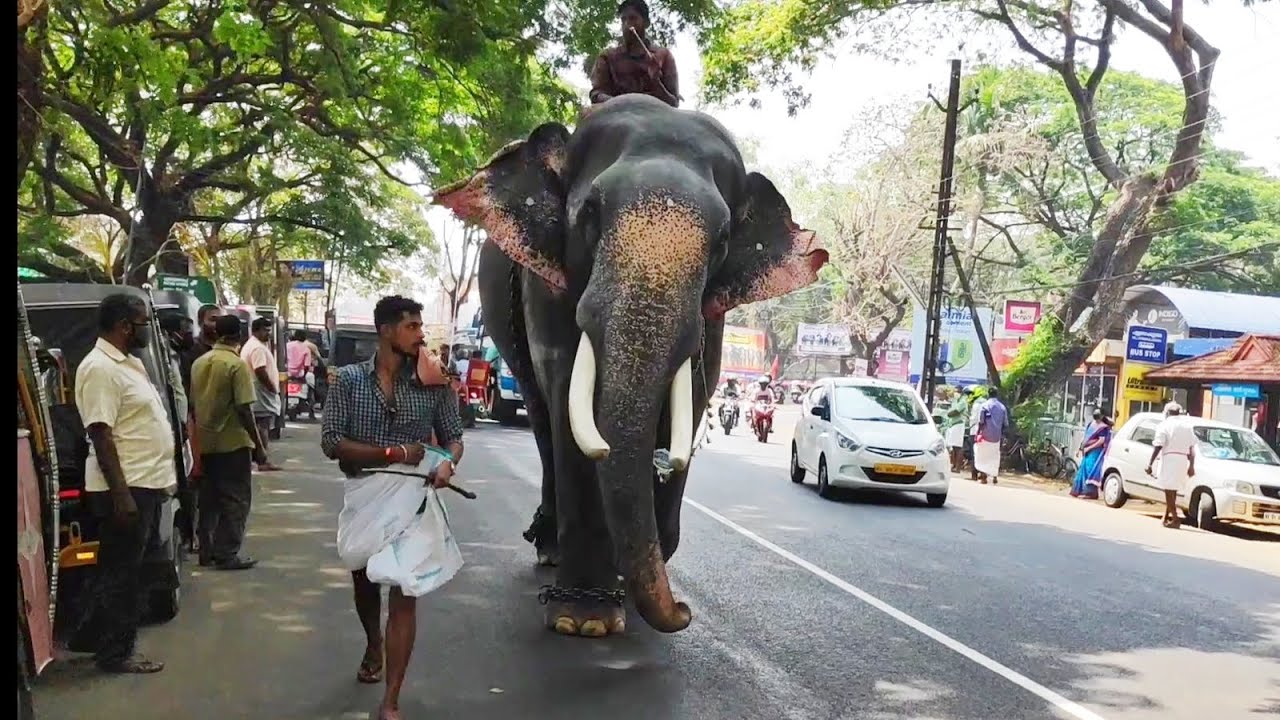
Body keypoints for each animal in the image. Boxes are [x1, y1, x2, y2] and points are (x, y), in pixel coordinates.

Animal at [433, 94, 828, 637]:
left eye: (724, 239)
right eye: (590, 213)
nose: (683, 612)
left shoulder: (714, 315)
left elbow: (692, 401)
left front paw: (638, 568)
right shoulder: (547, 288)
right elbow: (569, 401)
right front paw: (584, 619)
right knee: (542, 417)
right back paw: (550, 547)